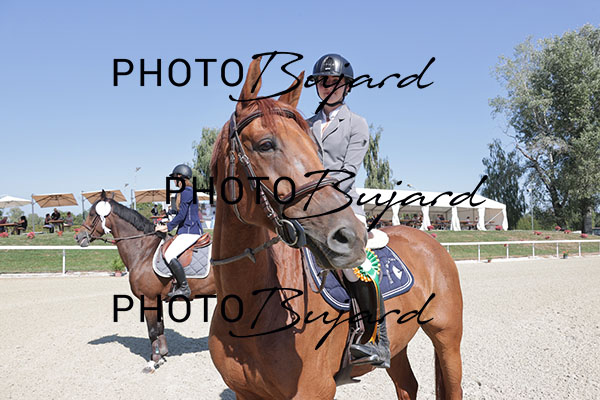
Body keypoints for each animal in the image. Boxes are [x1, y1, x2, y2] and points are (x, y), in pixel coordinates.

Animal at [75, 193, 216, 372]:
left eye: (92, 214)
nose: (78, 237)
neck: (144, 250)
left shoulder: (148, 299)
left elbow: (152, 330)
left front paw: (153, 361)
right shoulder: (157, 299)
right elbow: (160, 327)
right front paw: (162, 355)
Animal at [208, 57, 463, 399]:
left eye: (314, 149)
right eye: (265, 145)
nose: (349, 237)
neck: (251, 307)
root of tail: (430, 241)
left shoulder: (314, 390)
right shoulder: (246, 393)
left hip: (447, 339)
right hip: (397, 345)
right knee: (407, 385)